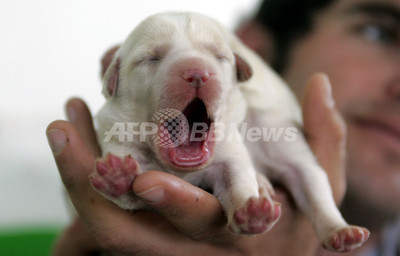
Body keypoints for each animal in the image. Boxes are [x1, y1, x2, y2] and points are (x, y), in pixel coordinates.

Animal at [90, 11, 368, 252]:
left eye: (219, 57)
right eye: (152, 58)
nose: (197, 73)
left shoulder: (250, 145)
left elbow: (307, 182)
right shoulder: (119, 139)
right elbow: (131, 196)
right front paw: (117, 176)